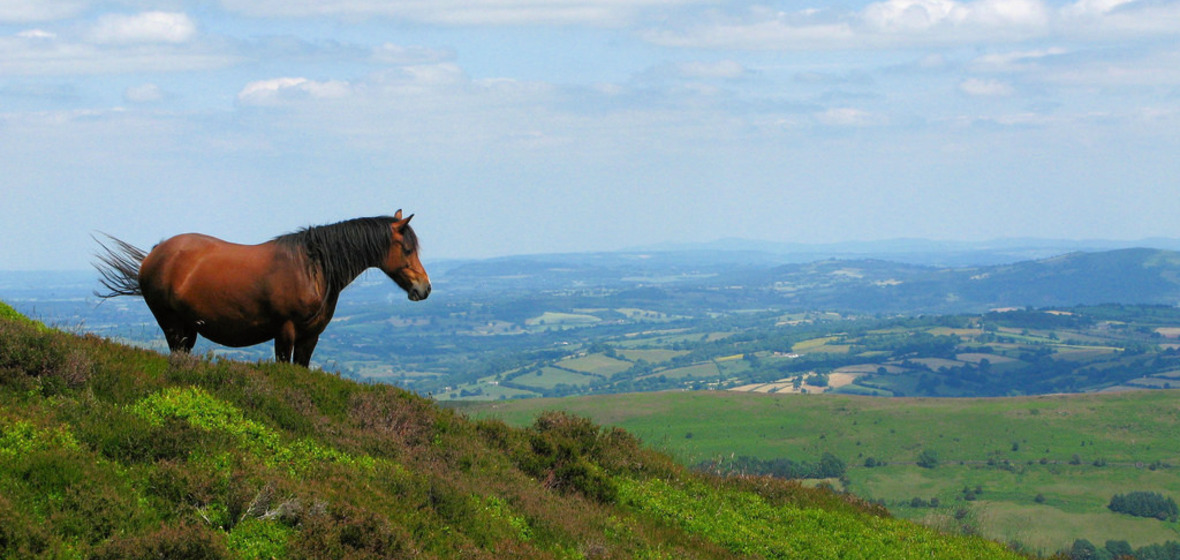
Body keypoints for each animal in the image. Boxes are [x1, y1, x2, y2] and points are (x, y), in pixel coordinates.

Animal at [92, 211, 431, 367]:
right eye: (407, 249)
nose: (424, 288)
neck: (313, 268)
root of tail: (154, 255)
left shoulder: (310, 337)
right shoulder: (285, 331)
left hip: (188, 329)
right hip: (172, 325)